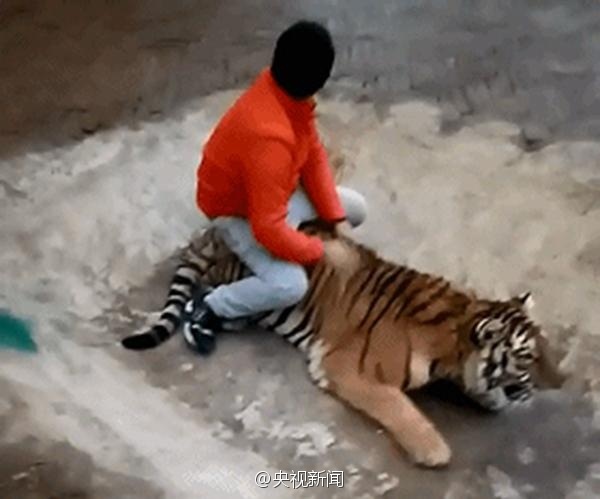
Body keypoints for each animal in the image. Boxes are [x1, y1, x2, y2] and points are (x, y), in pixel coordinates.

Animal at [121, 222, 562, 467]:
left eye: (545, 347)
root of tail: (212, 233)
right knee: (201, 298)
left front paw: (491, 397)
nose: (559, 382)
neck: (456, 332)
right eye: (527, 356)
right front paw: (434, 450)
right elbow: (400, 408)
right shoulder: (349, 367)